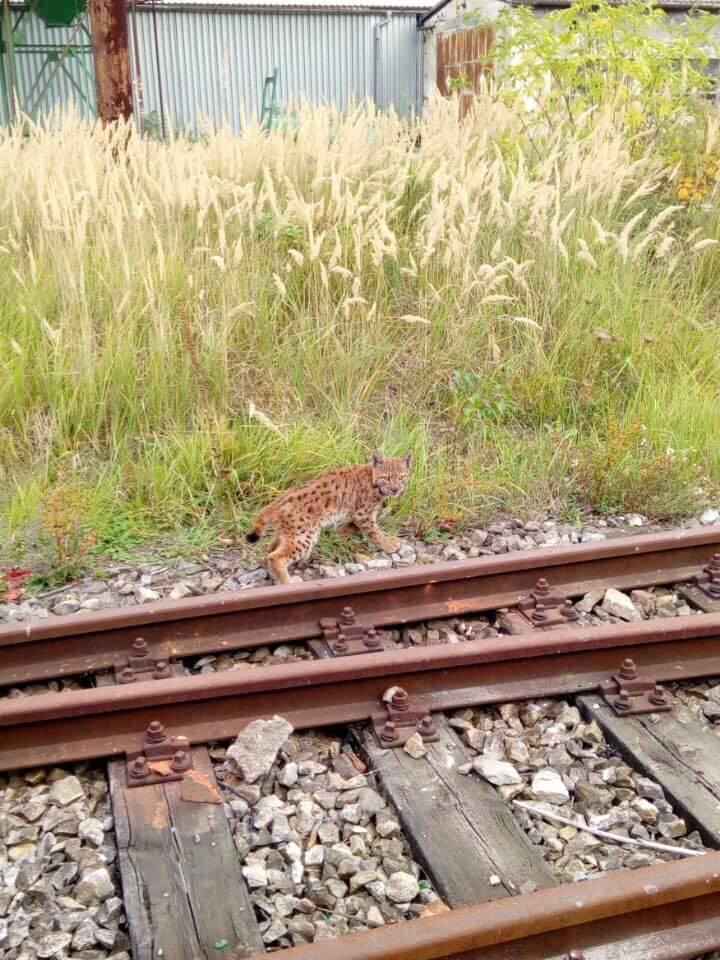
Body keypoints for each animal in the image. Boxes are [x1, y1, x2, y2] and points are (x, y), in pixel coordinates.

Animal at [248, 452, 410, 584]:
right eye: (386, 478)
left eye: (401, 478)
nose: (395, 489)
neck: (372, 476)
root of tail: (275, 503)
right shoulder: (364, 514)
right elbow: (375, 532)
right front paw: (388, 544)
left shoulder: (357, 514)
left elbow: (350, 527)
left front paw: (340, 533)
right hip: (305, 535)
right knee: (275, 557)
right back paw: (289, 582)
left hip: (292, 533)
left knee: (270, 549)